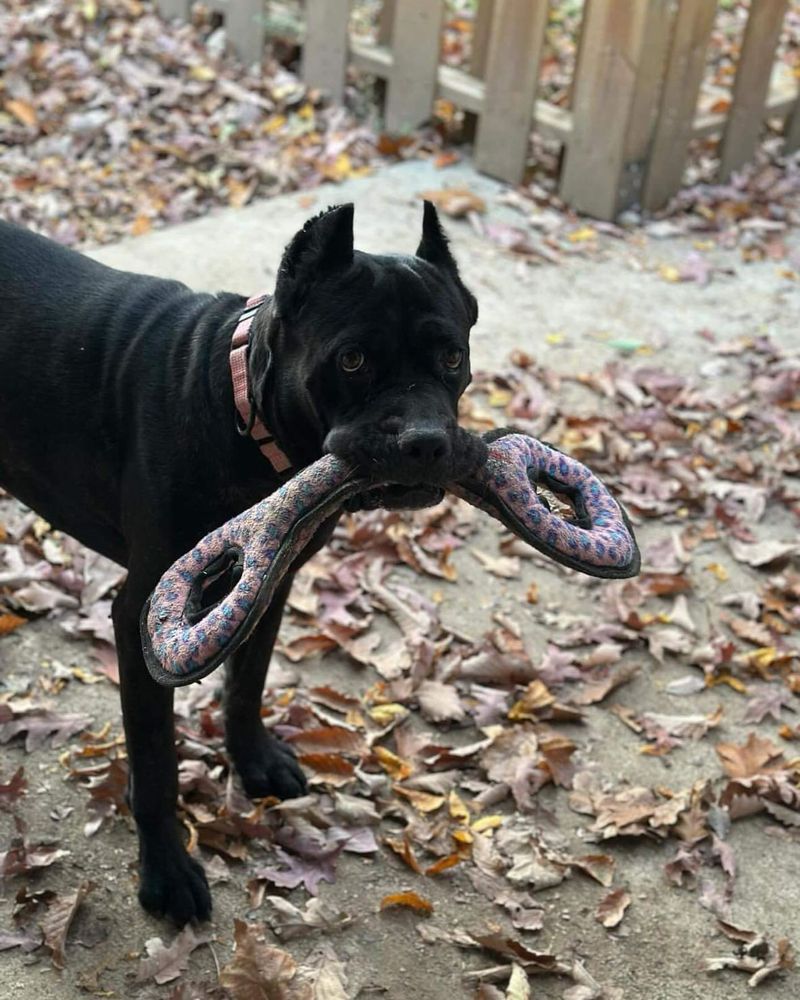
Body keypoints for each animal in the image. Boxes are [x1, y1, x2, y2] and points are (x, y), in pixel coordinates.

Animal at [0, 201, 482, 920]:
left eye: (452, 356)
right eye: (352, 360)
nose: (425, 442)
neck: (244, 420)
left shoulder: (269, 585)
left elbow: (248, 682)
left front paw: (254, 761)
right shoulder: (145, 620)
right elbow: (155, 761)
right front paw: (166, 871)